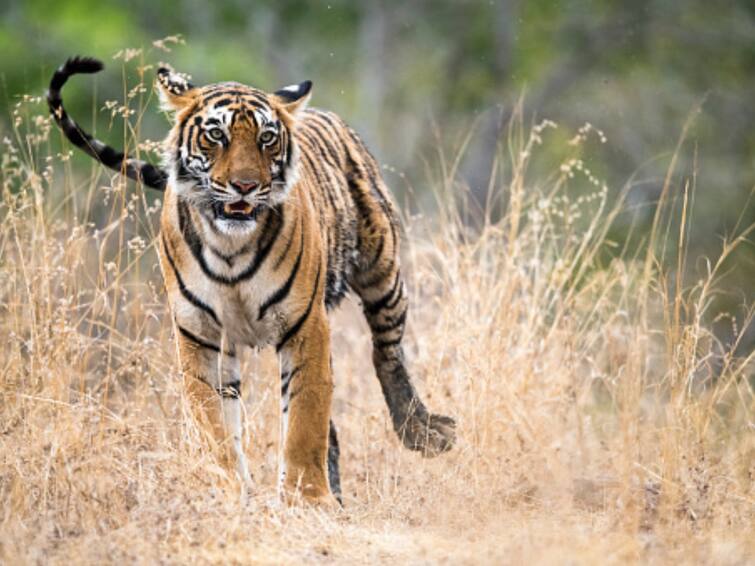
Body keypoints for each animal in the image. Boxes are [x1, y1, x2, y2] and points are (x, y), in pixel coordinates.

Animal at [50, 57, 458, 508]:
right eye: (216, 135)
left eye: (266, 138)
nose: (245, 186)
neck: (230, 248)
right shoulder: (199, 333)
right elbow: (211, 419)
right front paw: (229, 486)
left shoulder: (305, 325)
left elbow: (305, 416)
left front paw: (308, 497)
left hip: (382, 269)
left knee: (386, 354)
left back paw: (423, 433)